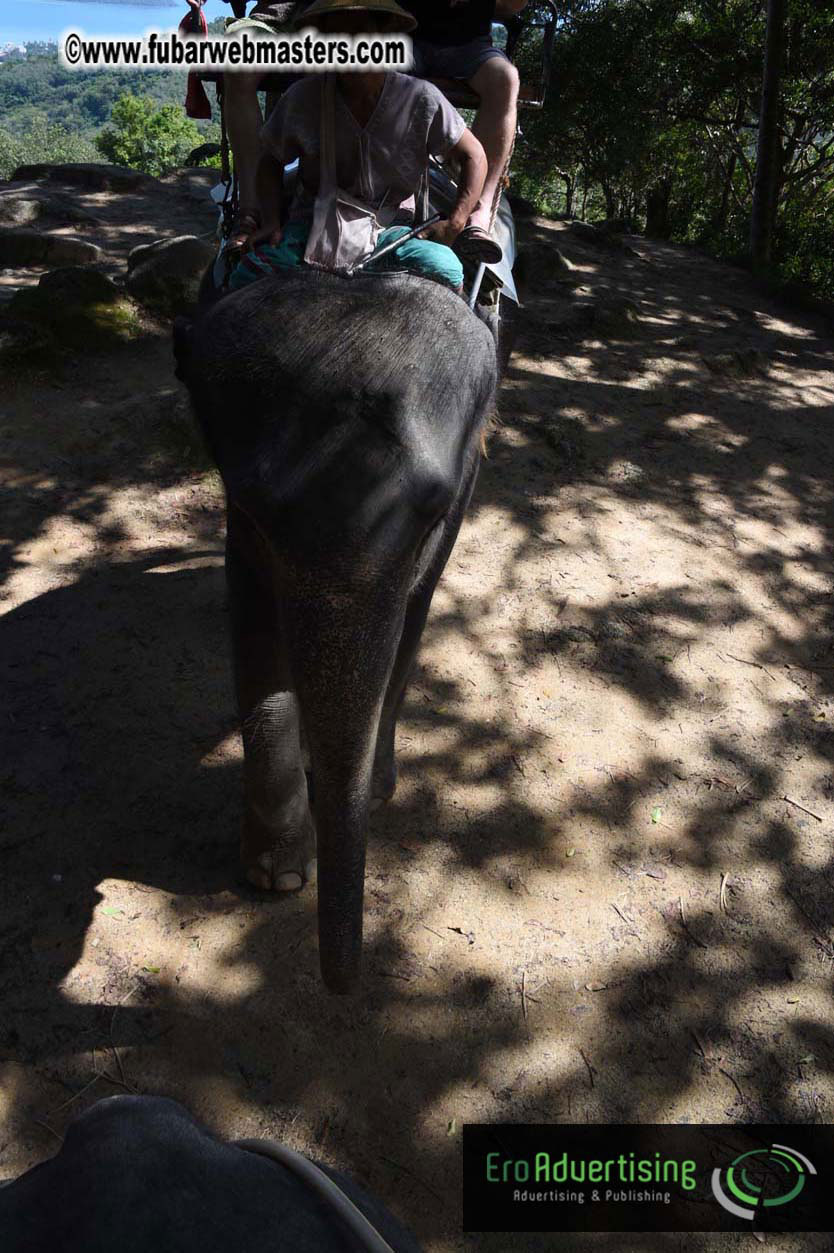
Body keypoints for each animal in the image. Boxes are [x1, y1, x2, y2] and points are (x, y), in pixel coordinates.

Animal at [174, 268, 497, 992]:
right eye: (255, 509)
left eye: (433, 506)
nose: (344, 987)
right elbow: (255, 638)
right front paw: (278, 876)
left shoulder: (461, 495)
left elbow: (414, 616)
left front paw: (371, 792)